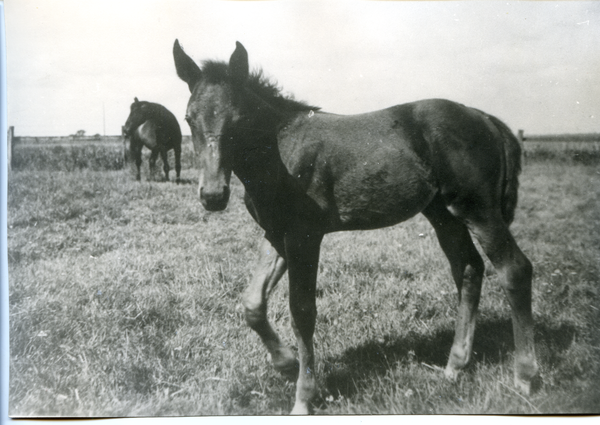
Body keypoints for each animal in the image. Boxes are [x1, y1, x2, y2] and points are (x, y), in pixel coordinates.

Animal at [171, 40, 536, 414]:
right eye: (188, 119)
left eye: (239, 119)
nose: (213, 195)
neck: (281, 151)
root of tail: (485, 118)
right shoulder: (276, 234)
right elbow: (253, 304)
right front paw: (286, 364)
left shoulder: (304, 237)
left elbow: (302, 311)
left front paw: (303, 397)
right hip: (443, 214)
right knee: (468, 268)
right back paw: (454, 367)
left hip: (478, 210)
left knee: (514, 269)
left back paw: (524, 376)